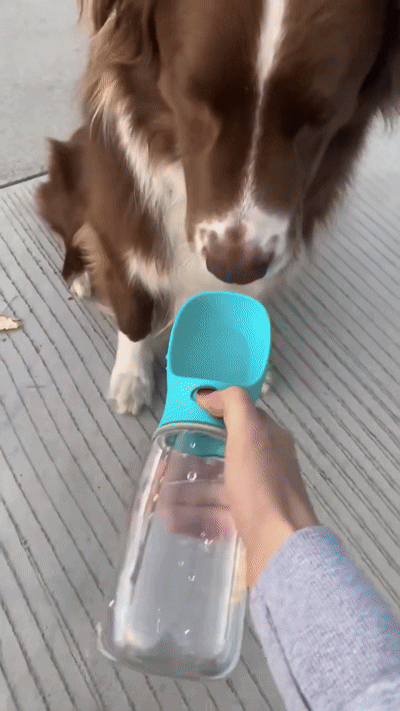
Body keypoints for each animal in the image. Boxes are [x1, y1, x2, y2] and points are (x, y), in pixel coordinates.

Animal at [37, 0, 400, 414]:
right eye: (193, 97)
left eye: (321, 117)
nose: (234, 270)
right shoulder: (123, 226)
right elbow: (133, 310)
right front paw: (132, 377)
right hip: (68, 166)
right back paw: (80, 273)